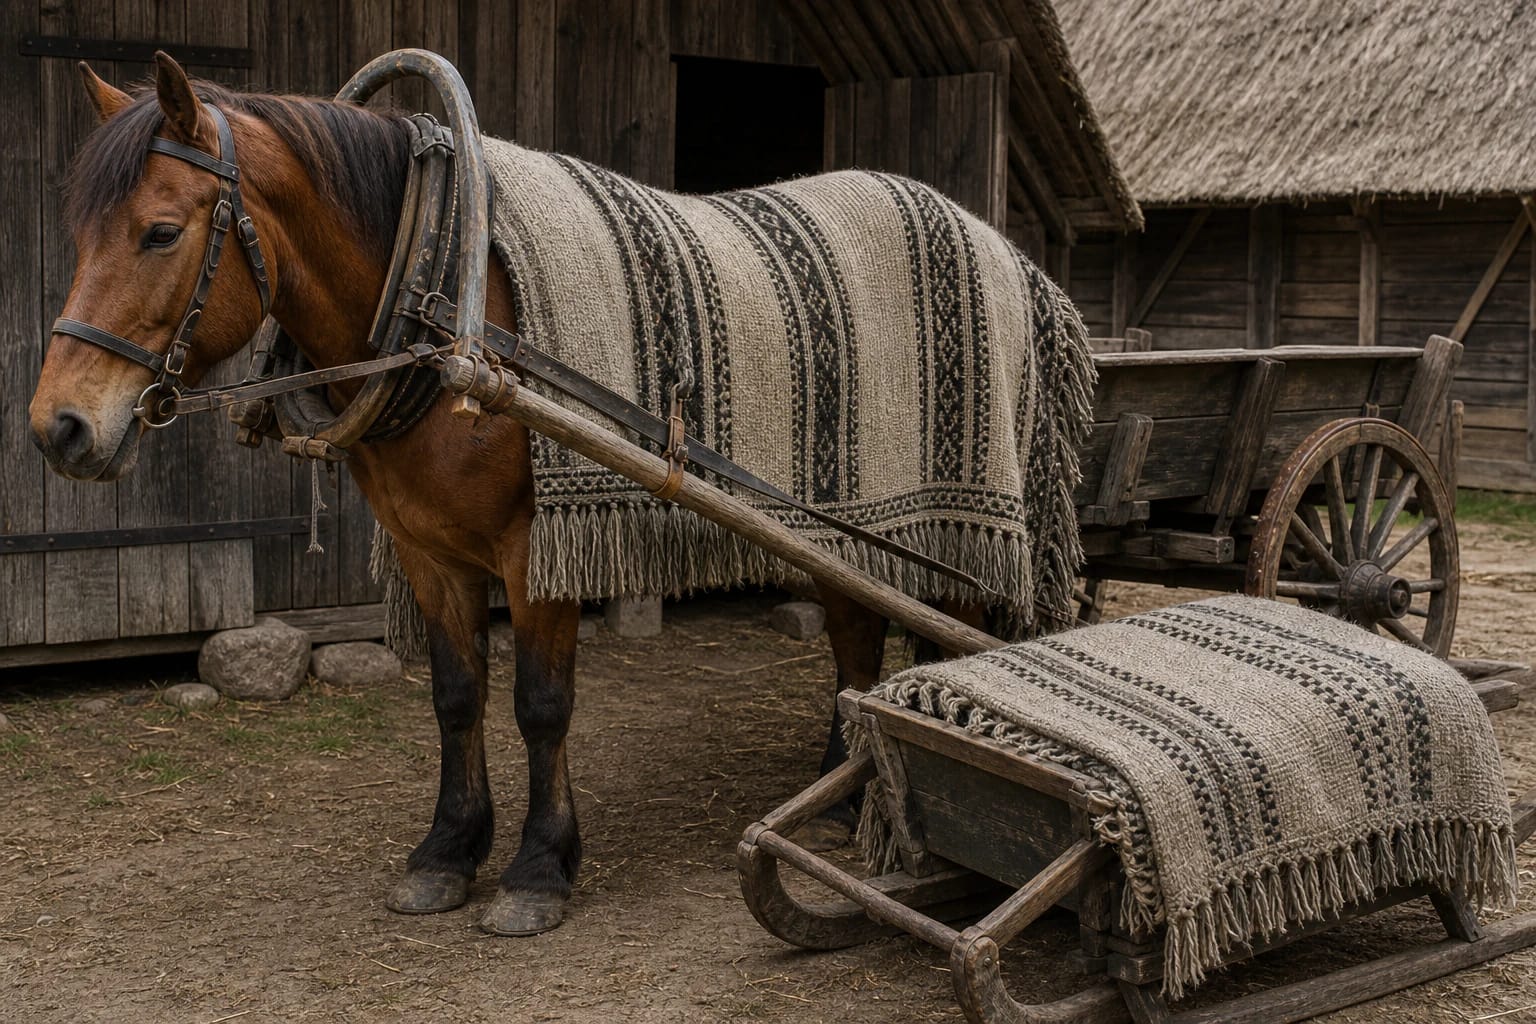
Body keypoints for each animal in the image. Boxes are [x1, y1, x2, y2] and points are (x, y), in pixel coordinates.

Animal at [29, 53, 1079, 936]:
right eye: (75, 231)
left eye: (161, 231)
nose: (59, 429)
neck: (444, 299)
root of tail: (1013, 258)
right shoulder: (430, 551)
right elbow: (455, 696)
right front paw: (447, 852)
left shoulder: (539, 548)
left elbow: (540, 703)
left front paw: (539, 869)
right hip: (836, 527)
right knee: (858, 641)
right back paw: (843, 783)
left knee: (935, 635)